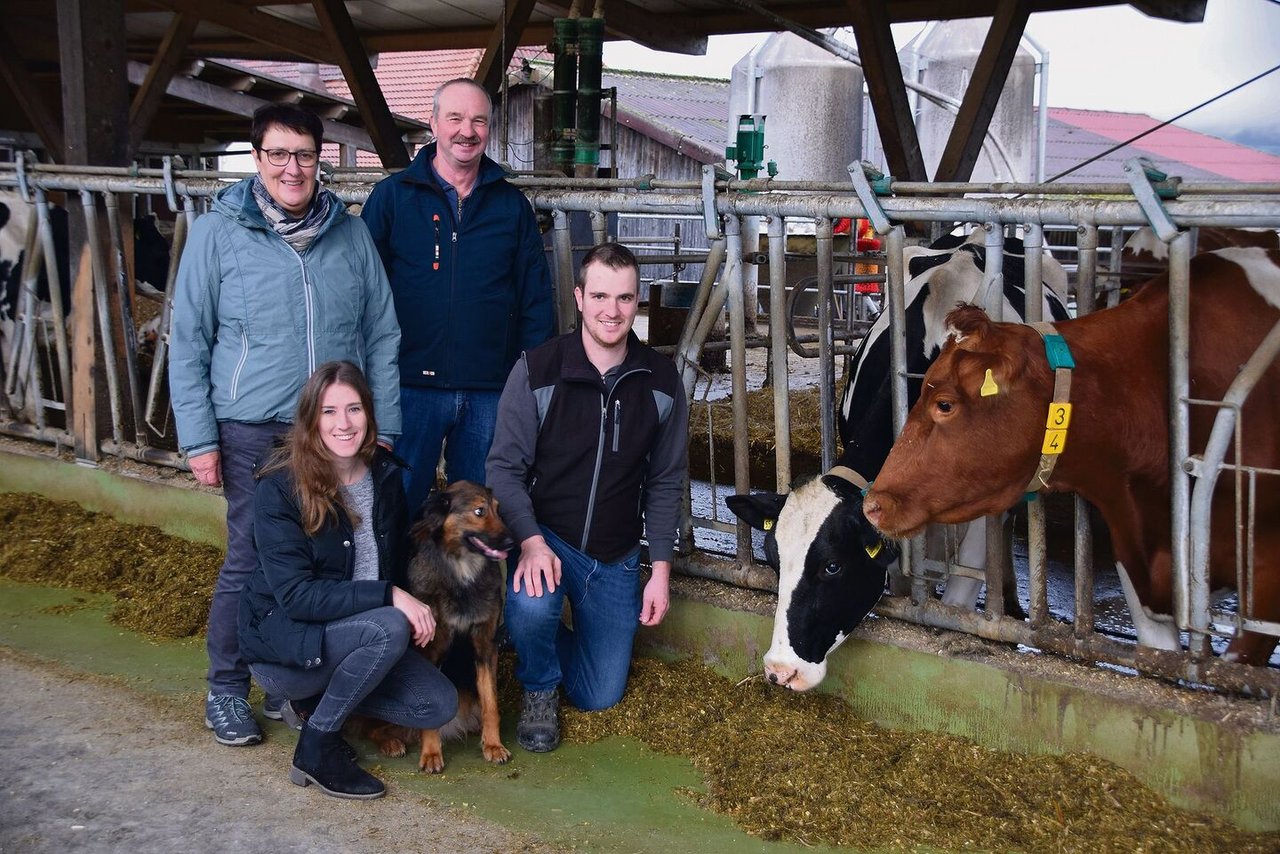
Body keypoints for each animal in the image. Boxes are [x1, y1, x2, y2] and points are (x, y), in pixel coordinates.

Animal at [363, 481, 512, 773]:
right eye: (479, 511)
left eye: (498, 510)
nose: (511, 542)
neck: (461, 569)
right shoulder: (430, 648)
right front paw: (431, 753)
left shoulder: (485, 645)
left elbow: (491, 704)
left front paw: (493, 745)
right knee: (371, 727)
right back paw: (391, 743)